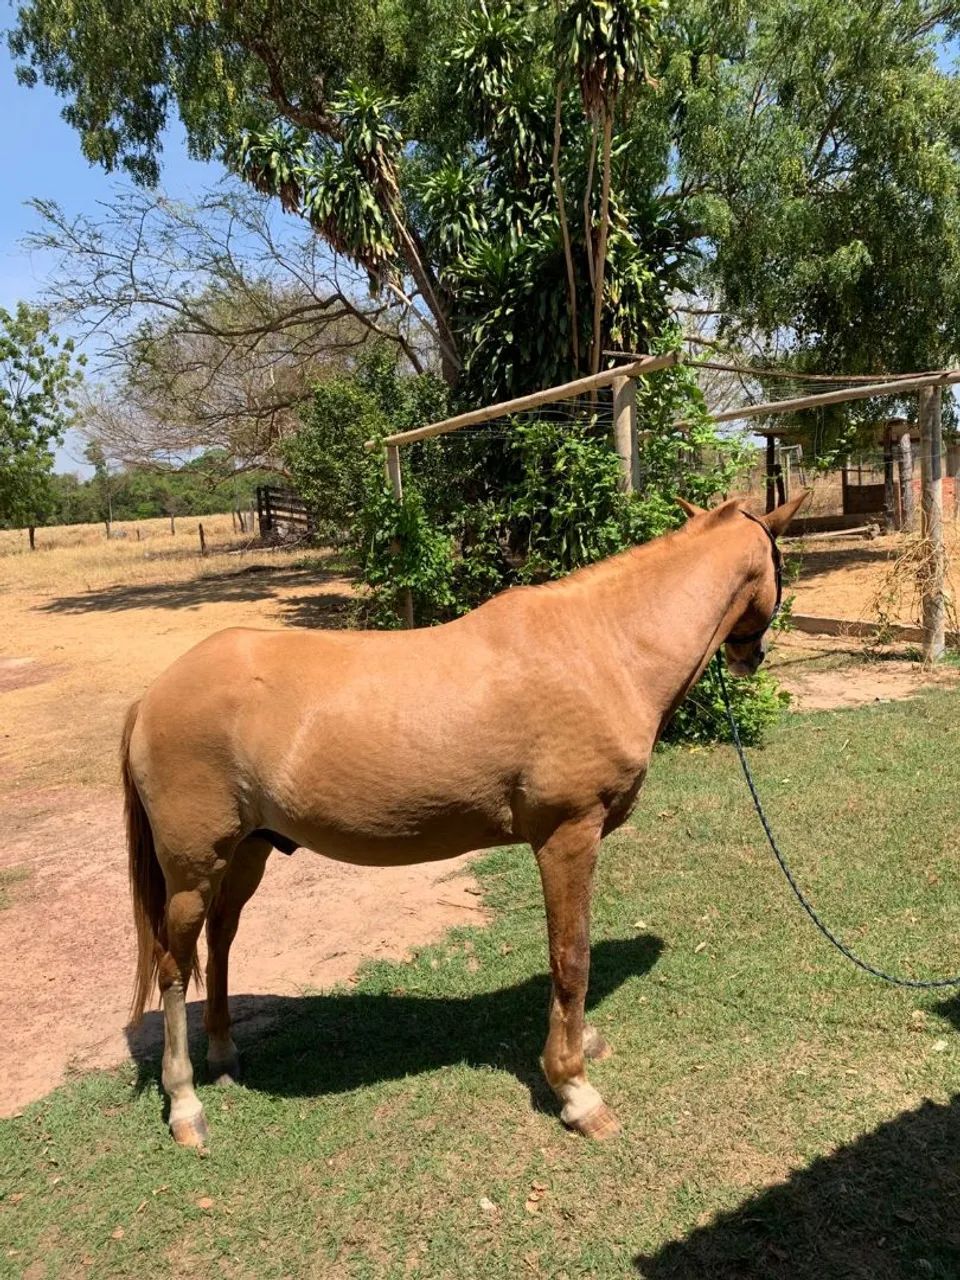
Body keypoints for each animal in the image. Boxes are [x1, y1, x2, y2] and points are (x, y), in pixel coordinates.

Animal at [122, 491, 807, 1147]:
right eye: (782, 563)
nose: (751, 656)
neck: (603, 648)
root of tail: (154, 693)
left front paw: (582, 1043)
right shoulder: (567, 836)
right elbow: (572, 957)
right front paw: (575, 1089)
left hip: (248, 852)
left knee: (221, 940)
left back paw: (224, 1055)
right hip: (192, 870)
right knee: (175, 967)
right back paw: (186, 1104)